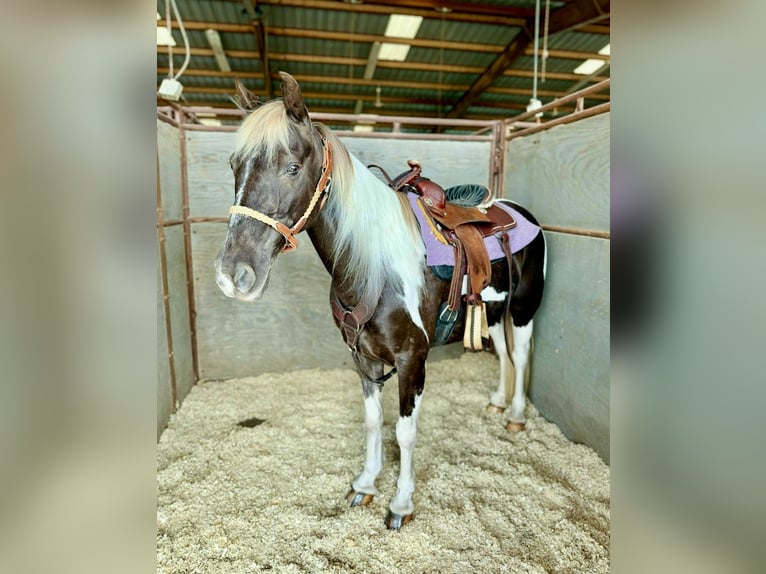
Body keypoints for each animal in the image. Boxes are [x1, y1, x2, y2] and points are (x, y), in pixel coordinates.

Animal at [215, 72, 546, 530]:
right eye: (235, 165)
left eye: (292, 167)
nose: (233, 274)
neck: (373, 266)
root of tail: (519, 211)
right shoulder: (364, 357)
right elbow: (373, 422)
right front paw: (365, 484)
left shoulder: (411, 359)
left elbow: (404, 432)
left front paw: (401, 504)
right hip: (492, 312)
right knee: (503, 352)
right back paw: (497, 403)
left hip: (524, 307)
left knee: (524, 353)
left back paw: (515, 416)